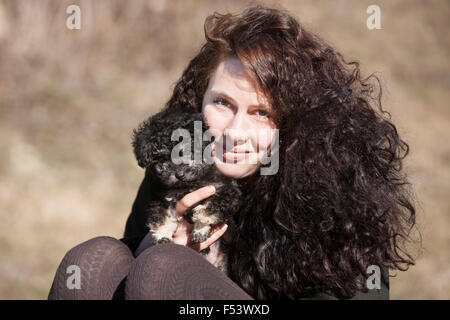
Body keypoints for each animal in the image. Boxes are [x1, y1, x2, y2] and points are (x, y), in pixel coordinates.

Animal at [131, 104, 243, 272]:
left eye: (187, 150)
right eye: (160, 159)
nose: (179, 174)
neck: (188, 185)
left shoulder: (226, 191)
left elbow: (211, 207)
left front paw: (200, 228)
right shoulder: (160, 198)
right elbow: (161, 217)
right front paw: (163, 236)